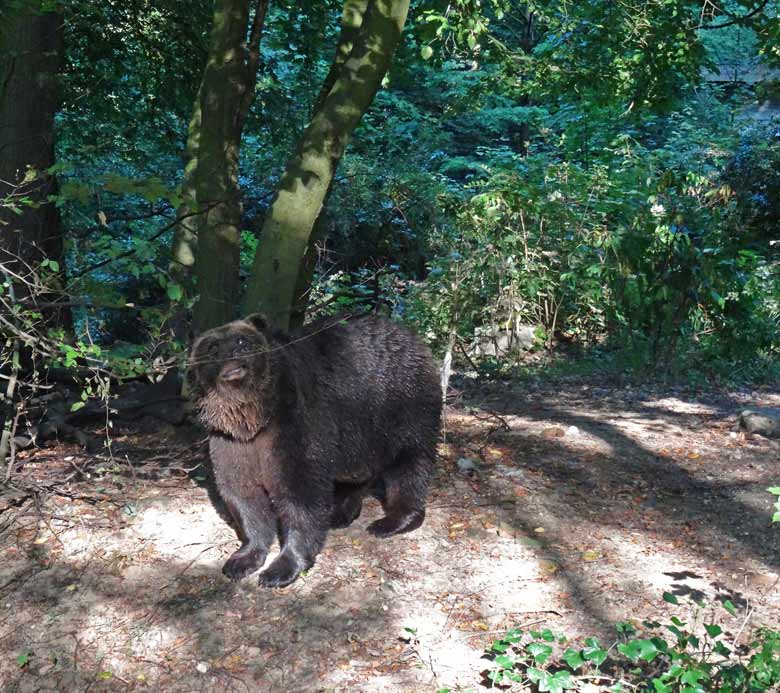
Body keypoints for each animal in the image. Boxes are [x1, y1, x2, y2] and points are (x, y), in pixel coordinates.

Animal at [187, 316, 442, 588]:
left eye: (242, 340)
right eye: (212, 348)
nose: (233, 353)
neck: (253, 418)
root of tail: (410, 335)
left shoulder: (293, 429)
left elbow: (301, 496)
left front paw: (281, 569)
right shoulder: (231, 443)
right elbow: (243, 497)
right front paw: (241, 560)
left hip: (401, 405)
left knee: (408, 463)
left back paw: (392, 521)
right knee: (357, 475)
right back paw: (341, 513)